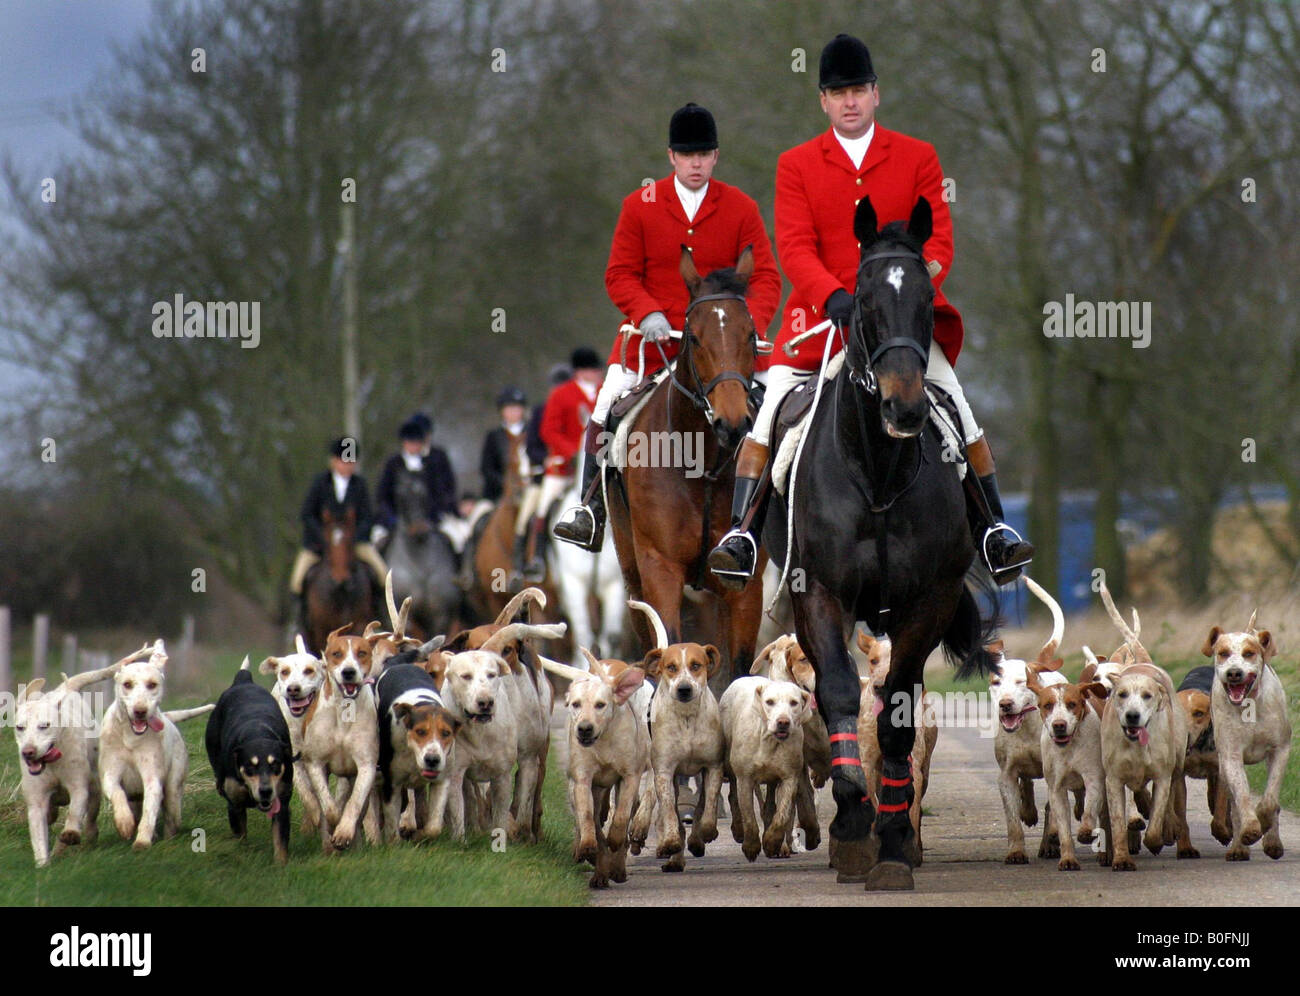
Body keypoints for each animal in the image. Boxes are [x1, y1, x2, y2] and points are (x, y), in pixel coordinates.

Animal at [306, 509, 379, 660]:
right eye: (327, 542)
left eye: (350, 541)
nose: (340, 579)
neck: (340, 592)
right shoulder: (321, 629)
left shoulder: (359, 623)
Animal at [605, 245, 764, 691]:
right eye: (693, 336)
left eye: (750, 335)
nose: (733, 423)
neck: (700, 465)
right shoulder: (659, 569)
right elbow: (669, 648)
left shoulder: (744, 584)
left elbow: (738, 669)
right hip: (633, 576)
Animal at [764, 198, 998, 894]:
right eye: (863, 299)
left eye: (926, 298)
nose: (904, 407)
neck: (878, 474)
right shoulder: (819, 594)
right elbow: (841, 692)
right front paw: (851, 825)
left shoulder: (929, 601)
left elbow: (895, 711)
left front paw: (892, 841)